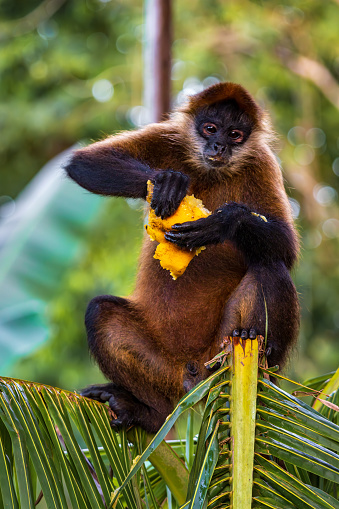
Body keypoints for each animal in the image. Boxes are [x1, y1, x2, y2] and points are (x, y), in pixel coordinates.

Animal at [65, 81, 298, 430]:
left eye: (235, 135)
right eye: (210, 128)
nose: (218, 146)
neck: (211, 171)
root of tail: (195, 372)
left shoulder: (261, 161)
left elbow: (287, 249)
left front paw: (224, 223)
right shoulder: (171, 135)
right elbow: (83, 163)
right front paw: (167, 184)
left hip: (219, 350)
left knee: (271, 266)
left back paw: (253, 345)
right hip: (167, 370)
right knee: (100, 311)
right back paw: (151, 413)